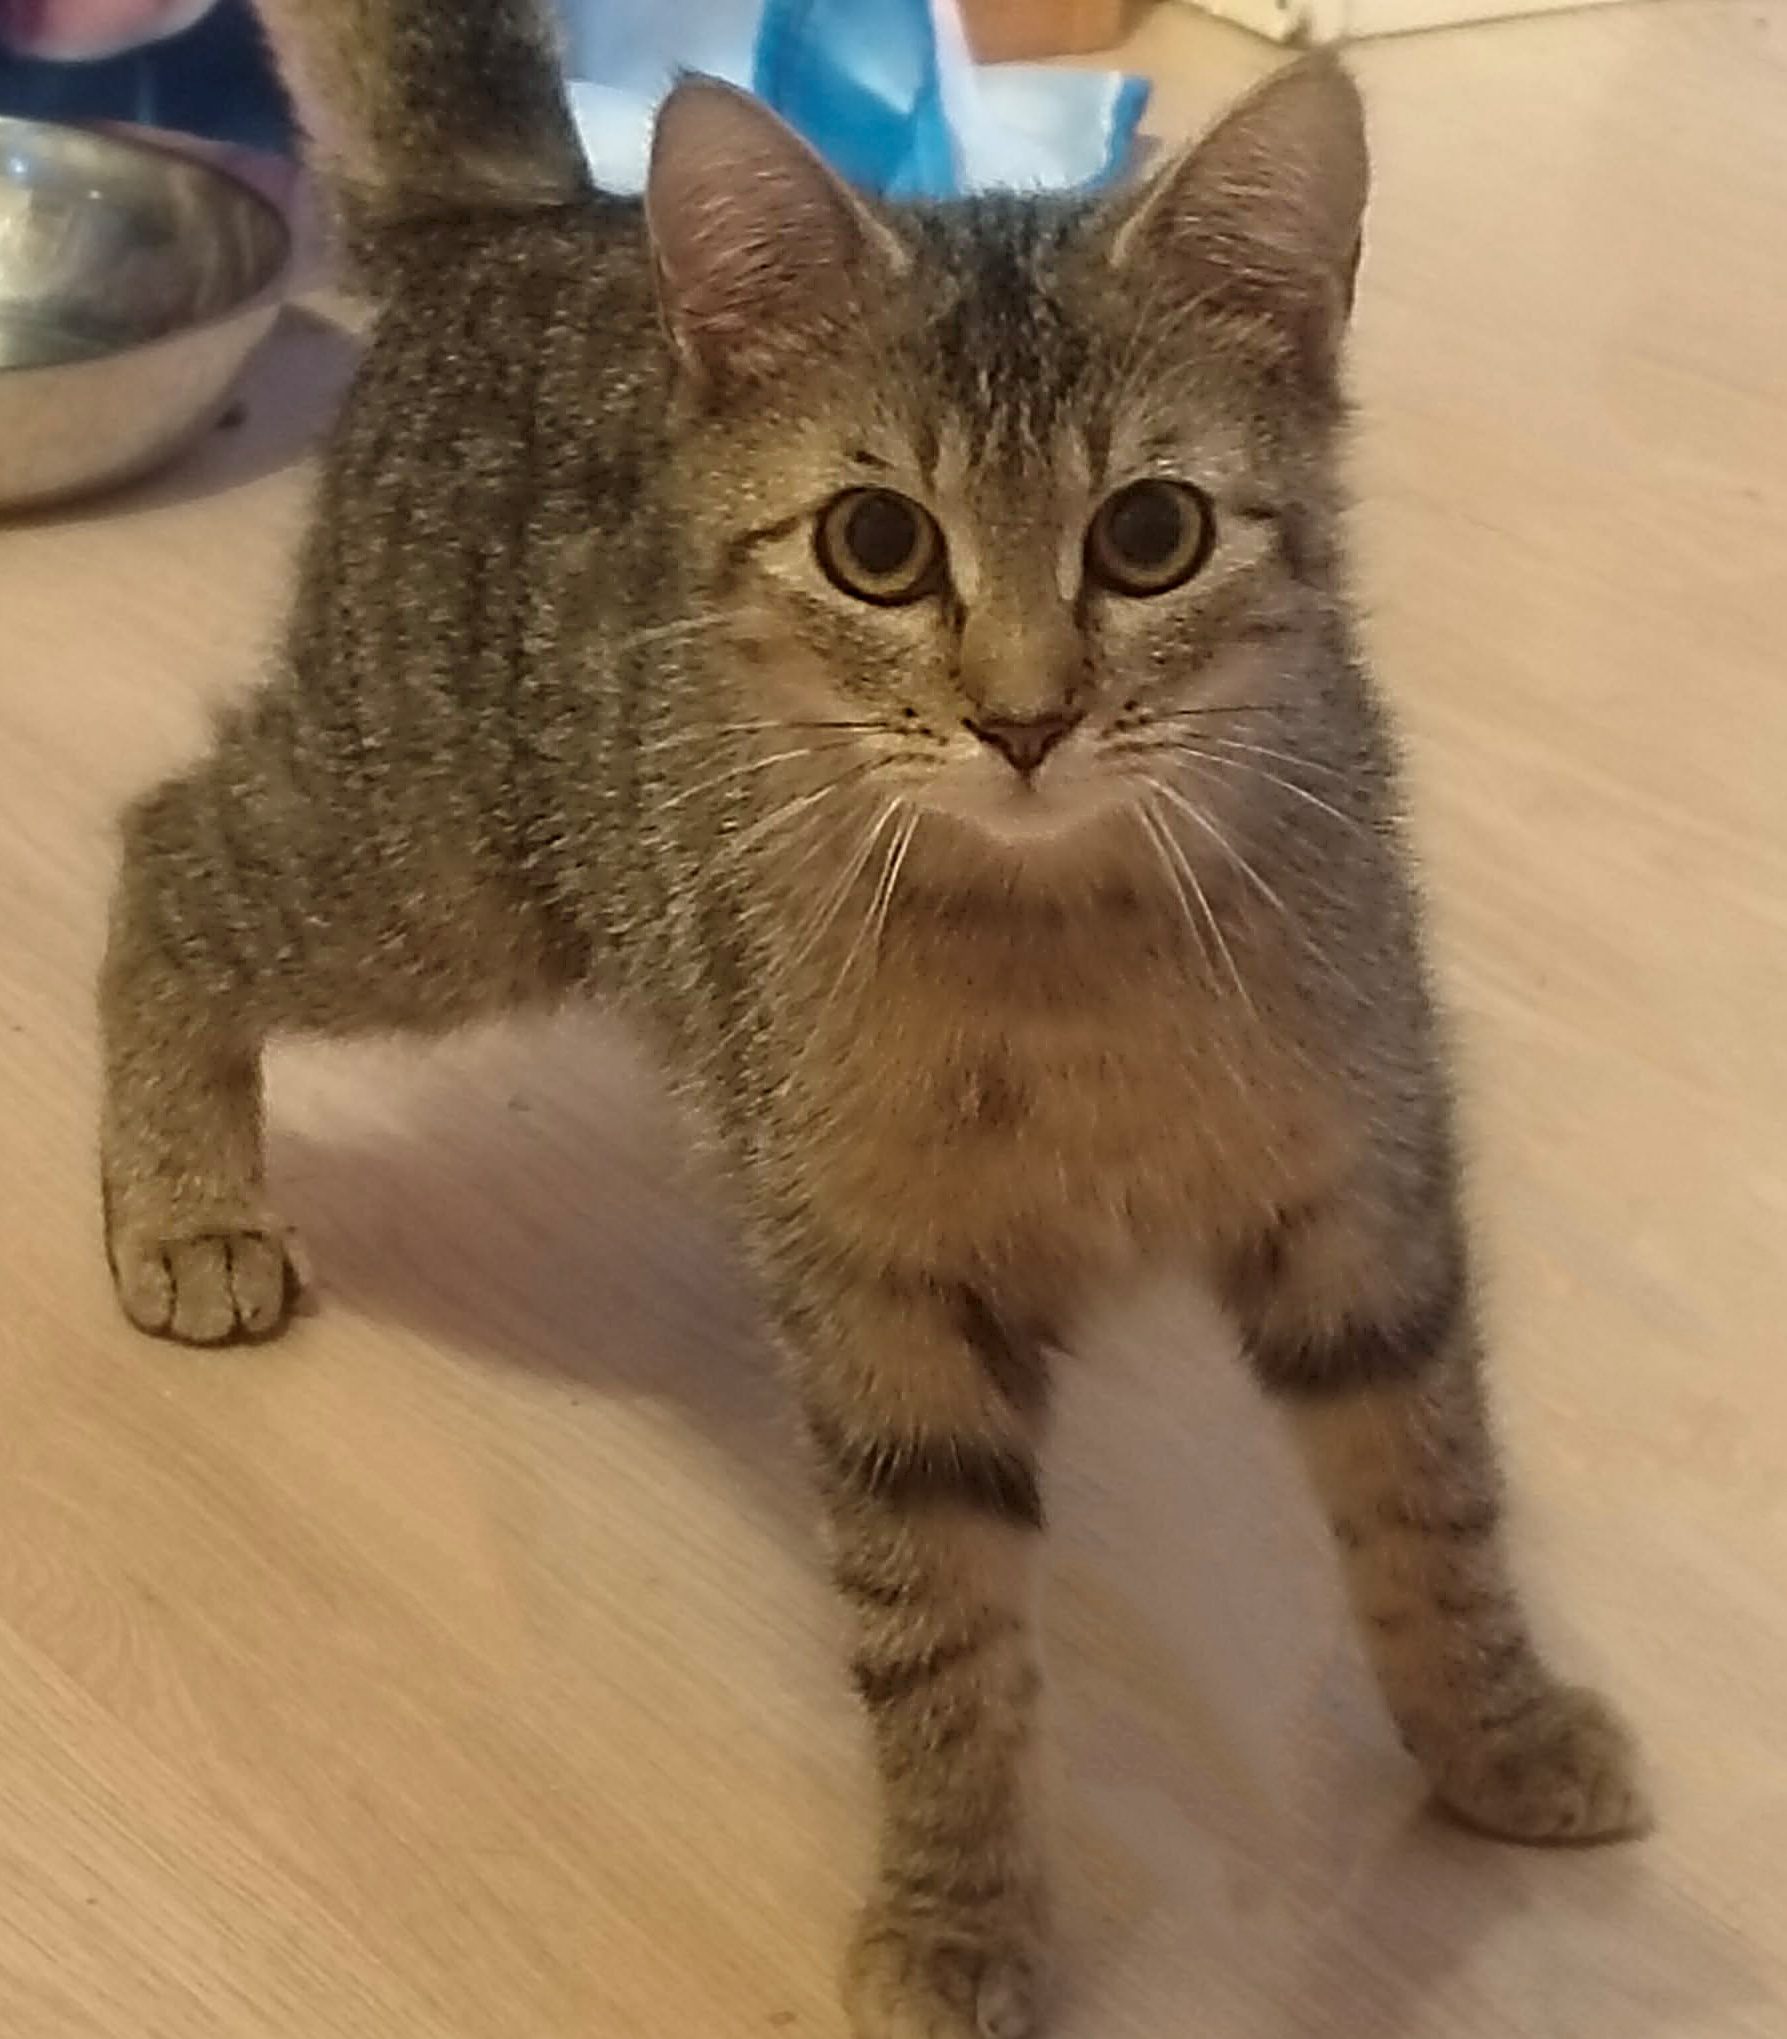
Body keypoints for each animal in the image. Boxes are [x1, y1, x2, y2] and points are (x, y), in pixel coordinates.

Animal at [97, 7, 1649, 2034]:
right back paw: (181, 1205)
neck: (1065, 947)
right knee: (164, 853)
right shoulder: (887, 1309)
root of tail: (519, 223)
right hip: (431, 875)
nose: (1023, 717)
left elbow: (1432, 1502)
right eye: (876, 546)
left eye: (1150, 533)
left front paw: (1493, 1733)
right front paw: (959, 1912)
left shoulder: (1364, 1207)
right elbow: (942, 1655)